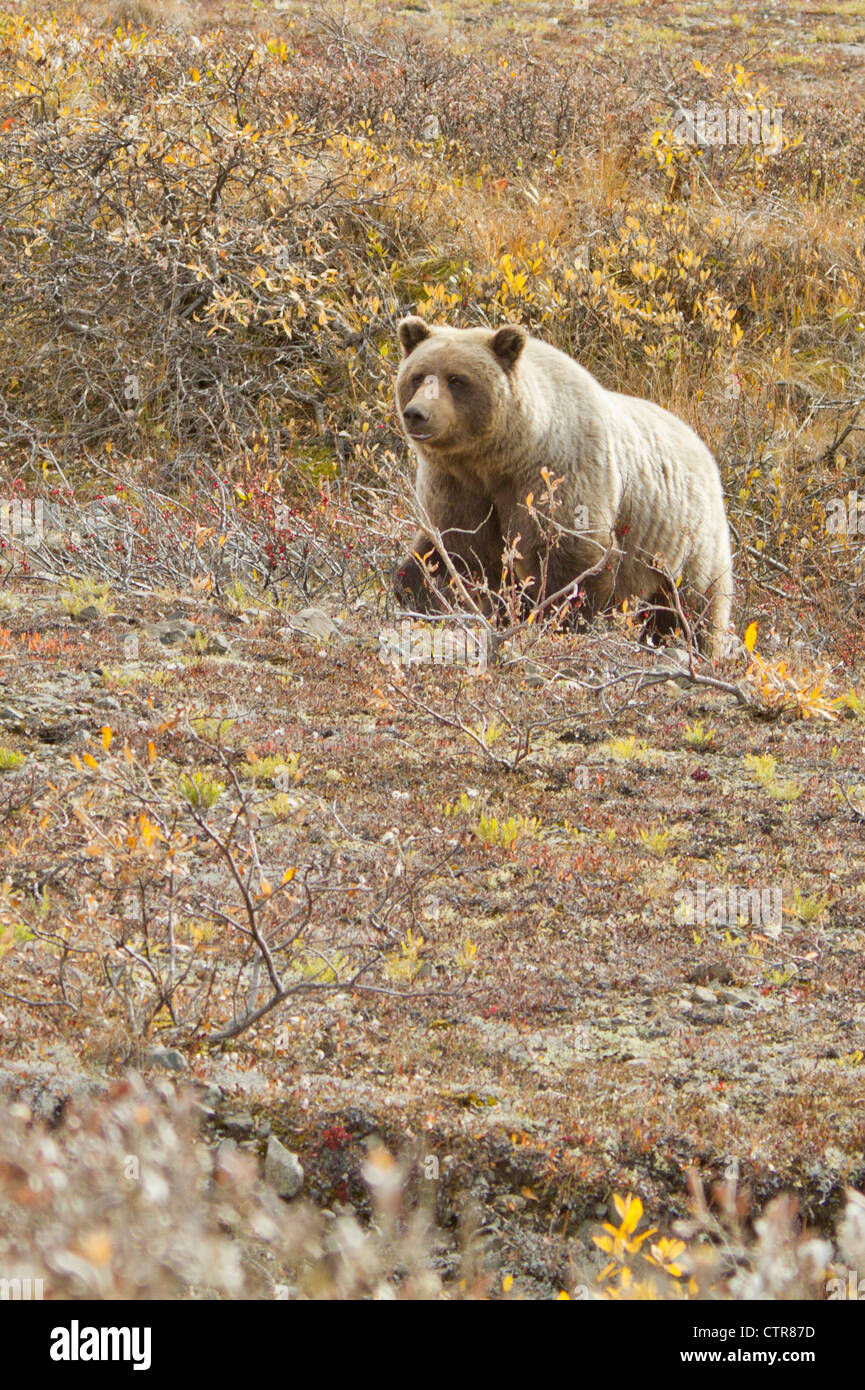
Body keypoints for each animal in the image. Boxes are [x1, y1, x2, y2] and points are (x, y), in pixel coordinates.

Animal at [393, 316, 733, 658]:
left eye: (457, 380)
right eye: (417, 376)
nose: (417, 413)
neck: (498, 459)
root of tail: (702, 446)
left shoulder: (558, 476)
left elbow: (572, 562)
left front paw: (556, 621)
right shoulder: (457, 486)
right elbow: (453, 552)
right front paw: (415, 593)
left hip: (686, 543)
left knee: (692, 605)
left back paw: (694, 647)